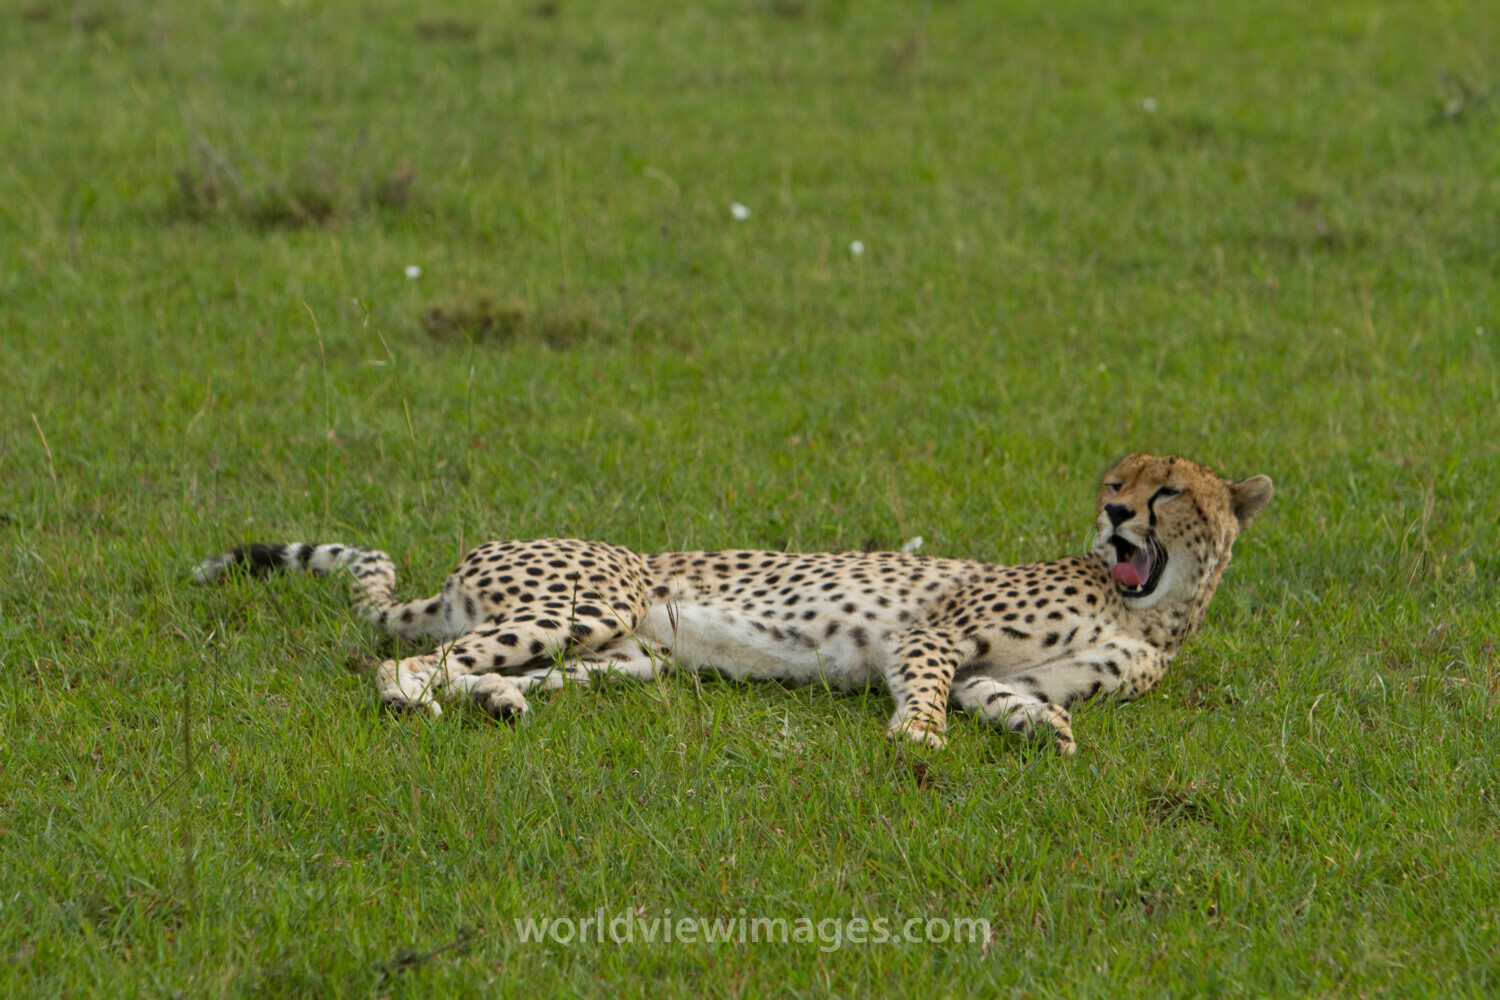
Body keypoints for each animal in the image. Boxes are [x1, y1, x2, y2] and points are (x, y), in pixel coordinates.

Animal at [194, 454, 1272, 754]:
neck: (1152, 610)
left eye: (1169, 489)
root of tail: (480, 549)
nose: (1115, 512)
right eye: (1118, 479)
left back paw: (503, 702)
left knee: (495, 671)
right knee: (410, 662)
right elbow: (929, 685)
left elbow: (1007, 700)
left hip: (627, 654)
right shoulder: (937, 630)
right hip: (586, 603)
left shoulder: (1000, 673)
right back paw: (413, 698)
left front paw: (1046, 730)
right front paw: (917, 737)